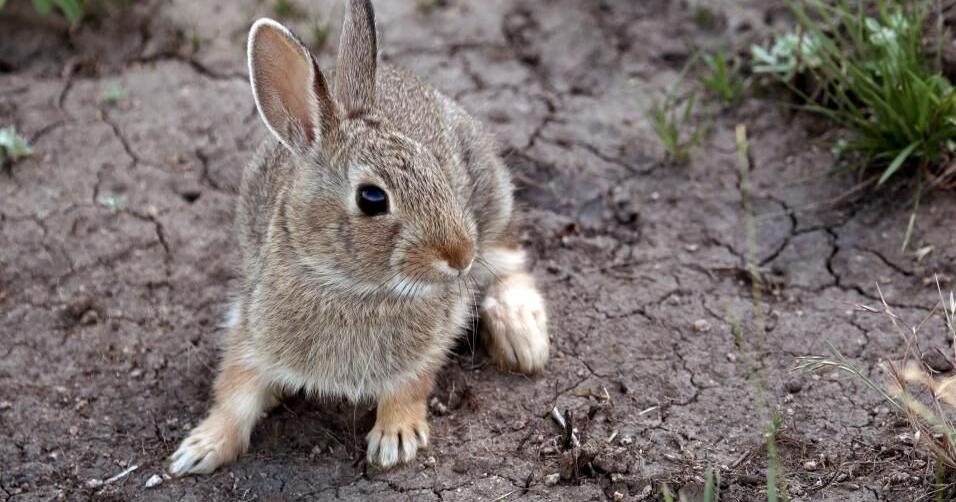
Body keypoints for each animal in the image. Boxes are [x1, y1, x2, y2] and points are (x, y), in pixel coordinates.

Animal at [168, 0, 549, 476]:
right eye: (372, 198)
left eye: (433, 167)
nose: (460, 255)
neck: (349, 287)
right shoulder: (252, 329)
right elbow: (235, 392)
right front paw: (199, 450)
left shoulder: (431, 337)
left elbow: (411, 383)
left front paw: (395, 438)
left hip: (491, 200)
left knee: (509, 261)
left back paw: (524, 339)